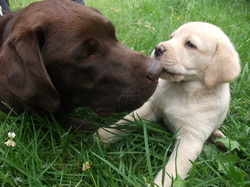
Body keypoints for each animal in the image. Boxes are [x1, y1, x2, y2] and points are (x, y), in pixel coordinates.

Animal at [95, 21, 240, 186]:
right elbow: (127, 120)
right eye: (172, 37)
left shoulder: (190, 139)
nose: (158, 48)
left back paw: (218, 137)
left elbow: (173, 169)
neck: (183, 90)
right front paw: (103, 135)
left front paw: (159, 184)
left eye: (190, 44)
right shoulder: (151, 108)